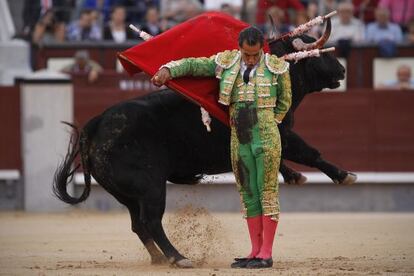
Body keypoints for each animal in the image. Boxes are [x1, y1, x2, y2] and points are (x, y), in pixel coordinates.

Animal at [53, 17, 354, 268]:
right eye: (319, 56)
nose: (342, 70)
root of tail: (96, 123)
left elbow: (287, 158)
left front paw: (294, 176)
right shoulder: (285, 133)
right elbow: (309, 153)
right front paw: (343, 175)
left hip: (126, 194)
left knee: (138, 224)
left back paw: (158, 258)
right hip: (150, 187)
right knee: (151, 221)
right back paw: (178, 258)